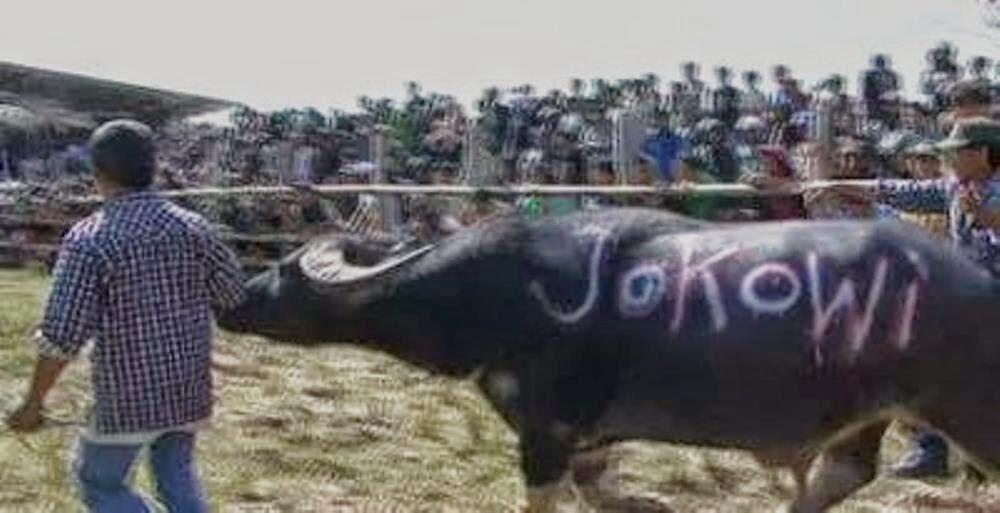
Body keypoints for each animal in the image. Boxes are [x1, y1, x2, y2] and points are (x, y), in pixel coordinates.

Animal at [219, 208, 1000, 512]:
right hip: (868, 415)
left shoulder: (547, 430)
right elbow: (607, 494)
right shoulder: (591, 439)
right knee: (844, 472)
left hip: (968, 410)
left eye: (281, 271)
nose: (233, 298)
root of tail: (976, 280)